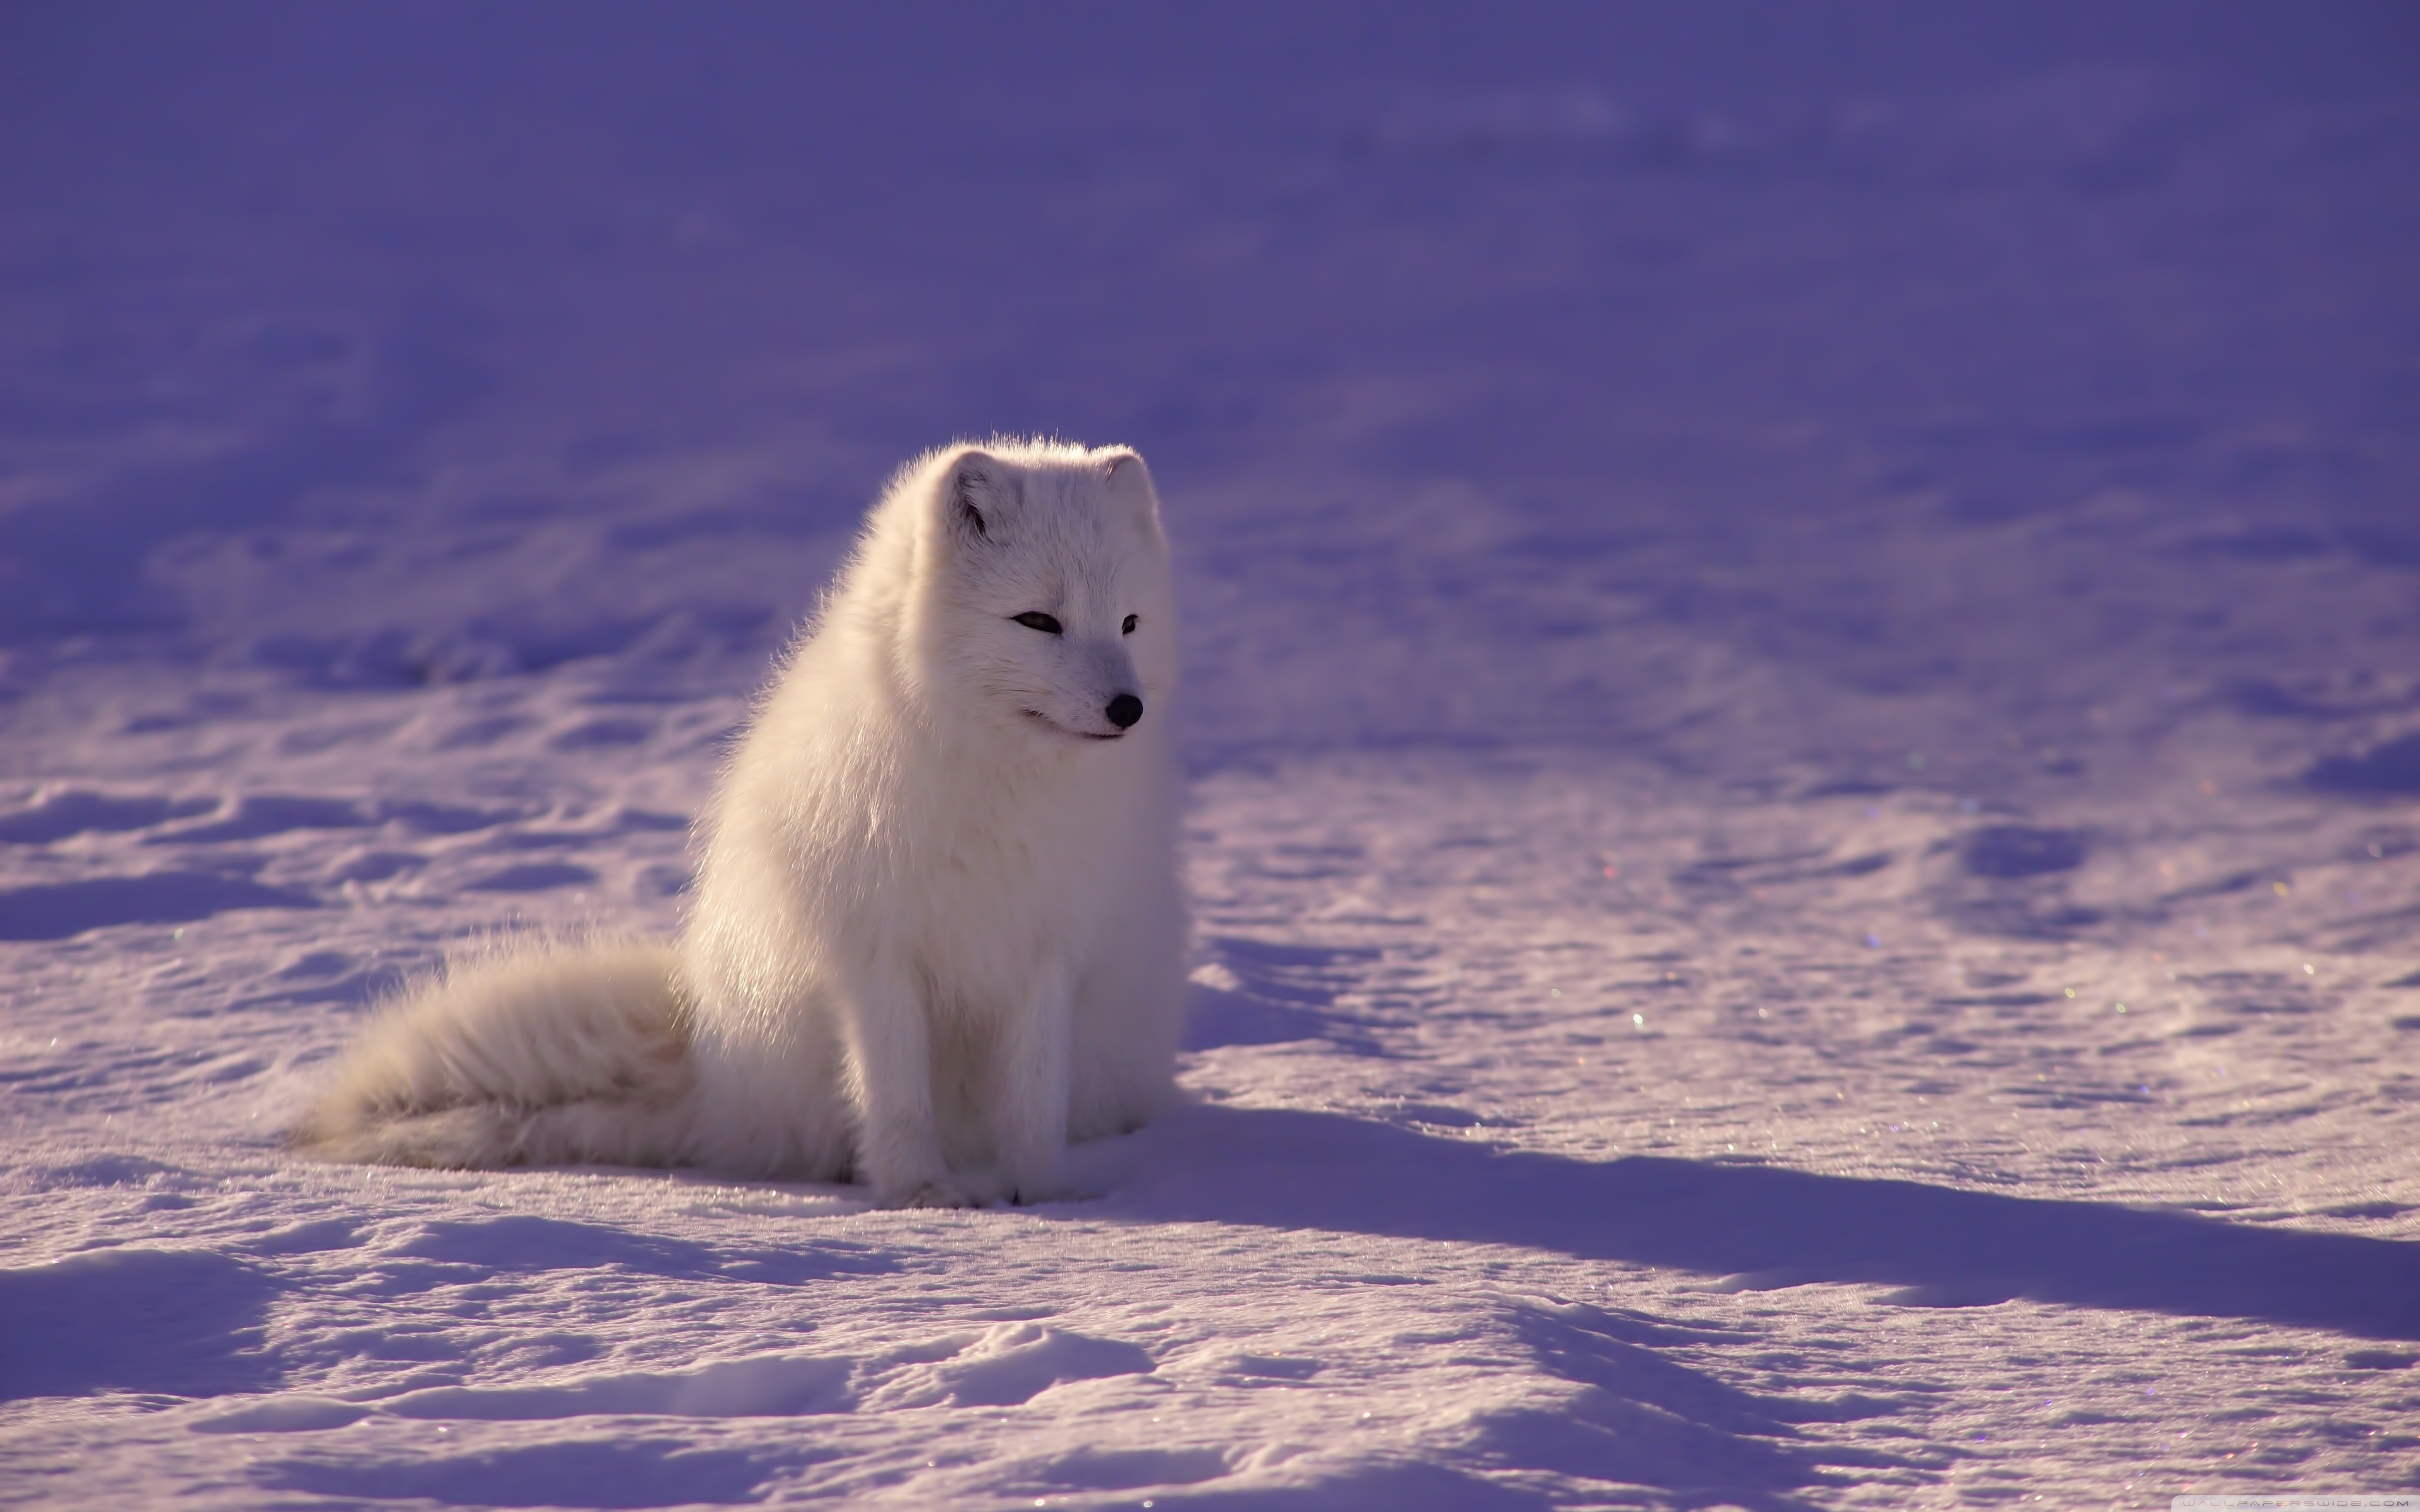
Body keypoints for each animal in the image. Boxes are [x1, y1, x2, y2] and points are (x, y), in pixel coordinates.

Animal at [292, 435, 1190, 1205]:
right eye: (1039, 620)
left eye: (1129, 623)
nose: (1129, 708)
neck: (999, 785)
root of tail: (711, 1072)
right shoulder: (874, 954)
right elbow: (896, 1096)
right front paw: (921, 1196)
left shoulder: (1048, 954)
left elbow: (1033, 1102)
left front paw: (1045, 1199)